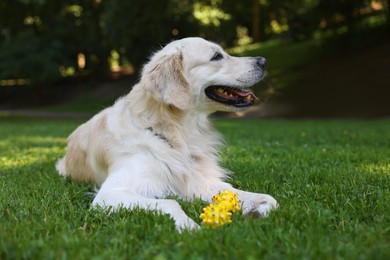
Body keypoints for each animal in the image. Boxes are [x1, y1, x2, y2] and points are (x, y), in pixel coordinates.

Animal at [56, 37, 278, 232]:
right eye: (216, 56)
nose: (263, 61)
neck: (171, 132)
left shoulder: (197, 179)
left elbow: (265, 198)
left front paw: (258, 209)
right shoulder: (110, 194)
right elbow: (171, 202)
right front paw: (189, 227)